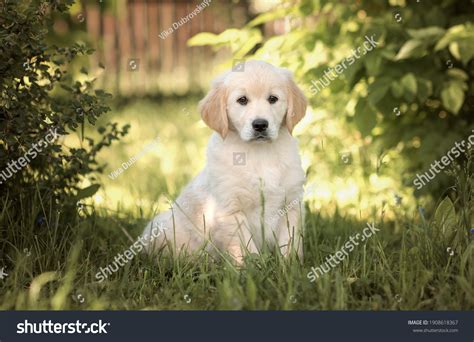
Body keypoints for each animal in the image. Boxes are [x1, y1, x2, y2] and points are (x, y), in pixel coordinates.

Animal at [142, 58, 308, 264]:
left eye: (273, 99)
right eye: (242, 100)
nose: (260, 125)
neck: (259, 153)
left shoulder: (291, 204)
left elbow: (290, 243)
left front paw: (291, 265)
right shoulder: (230, 210)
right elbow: (246, 250)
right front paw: (254, 268)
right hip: (159, 227)